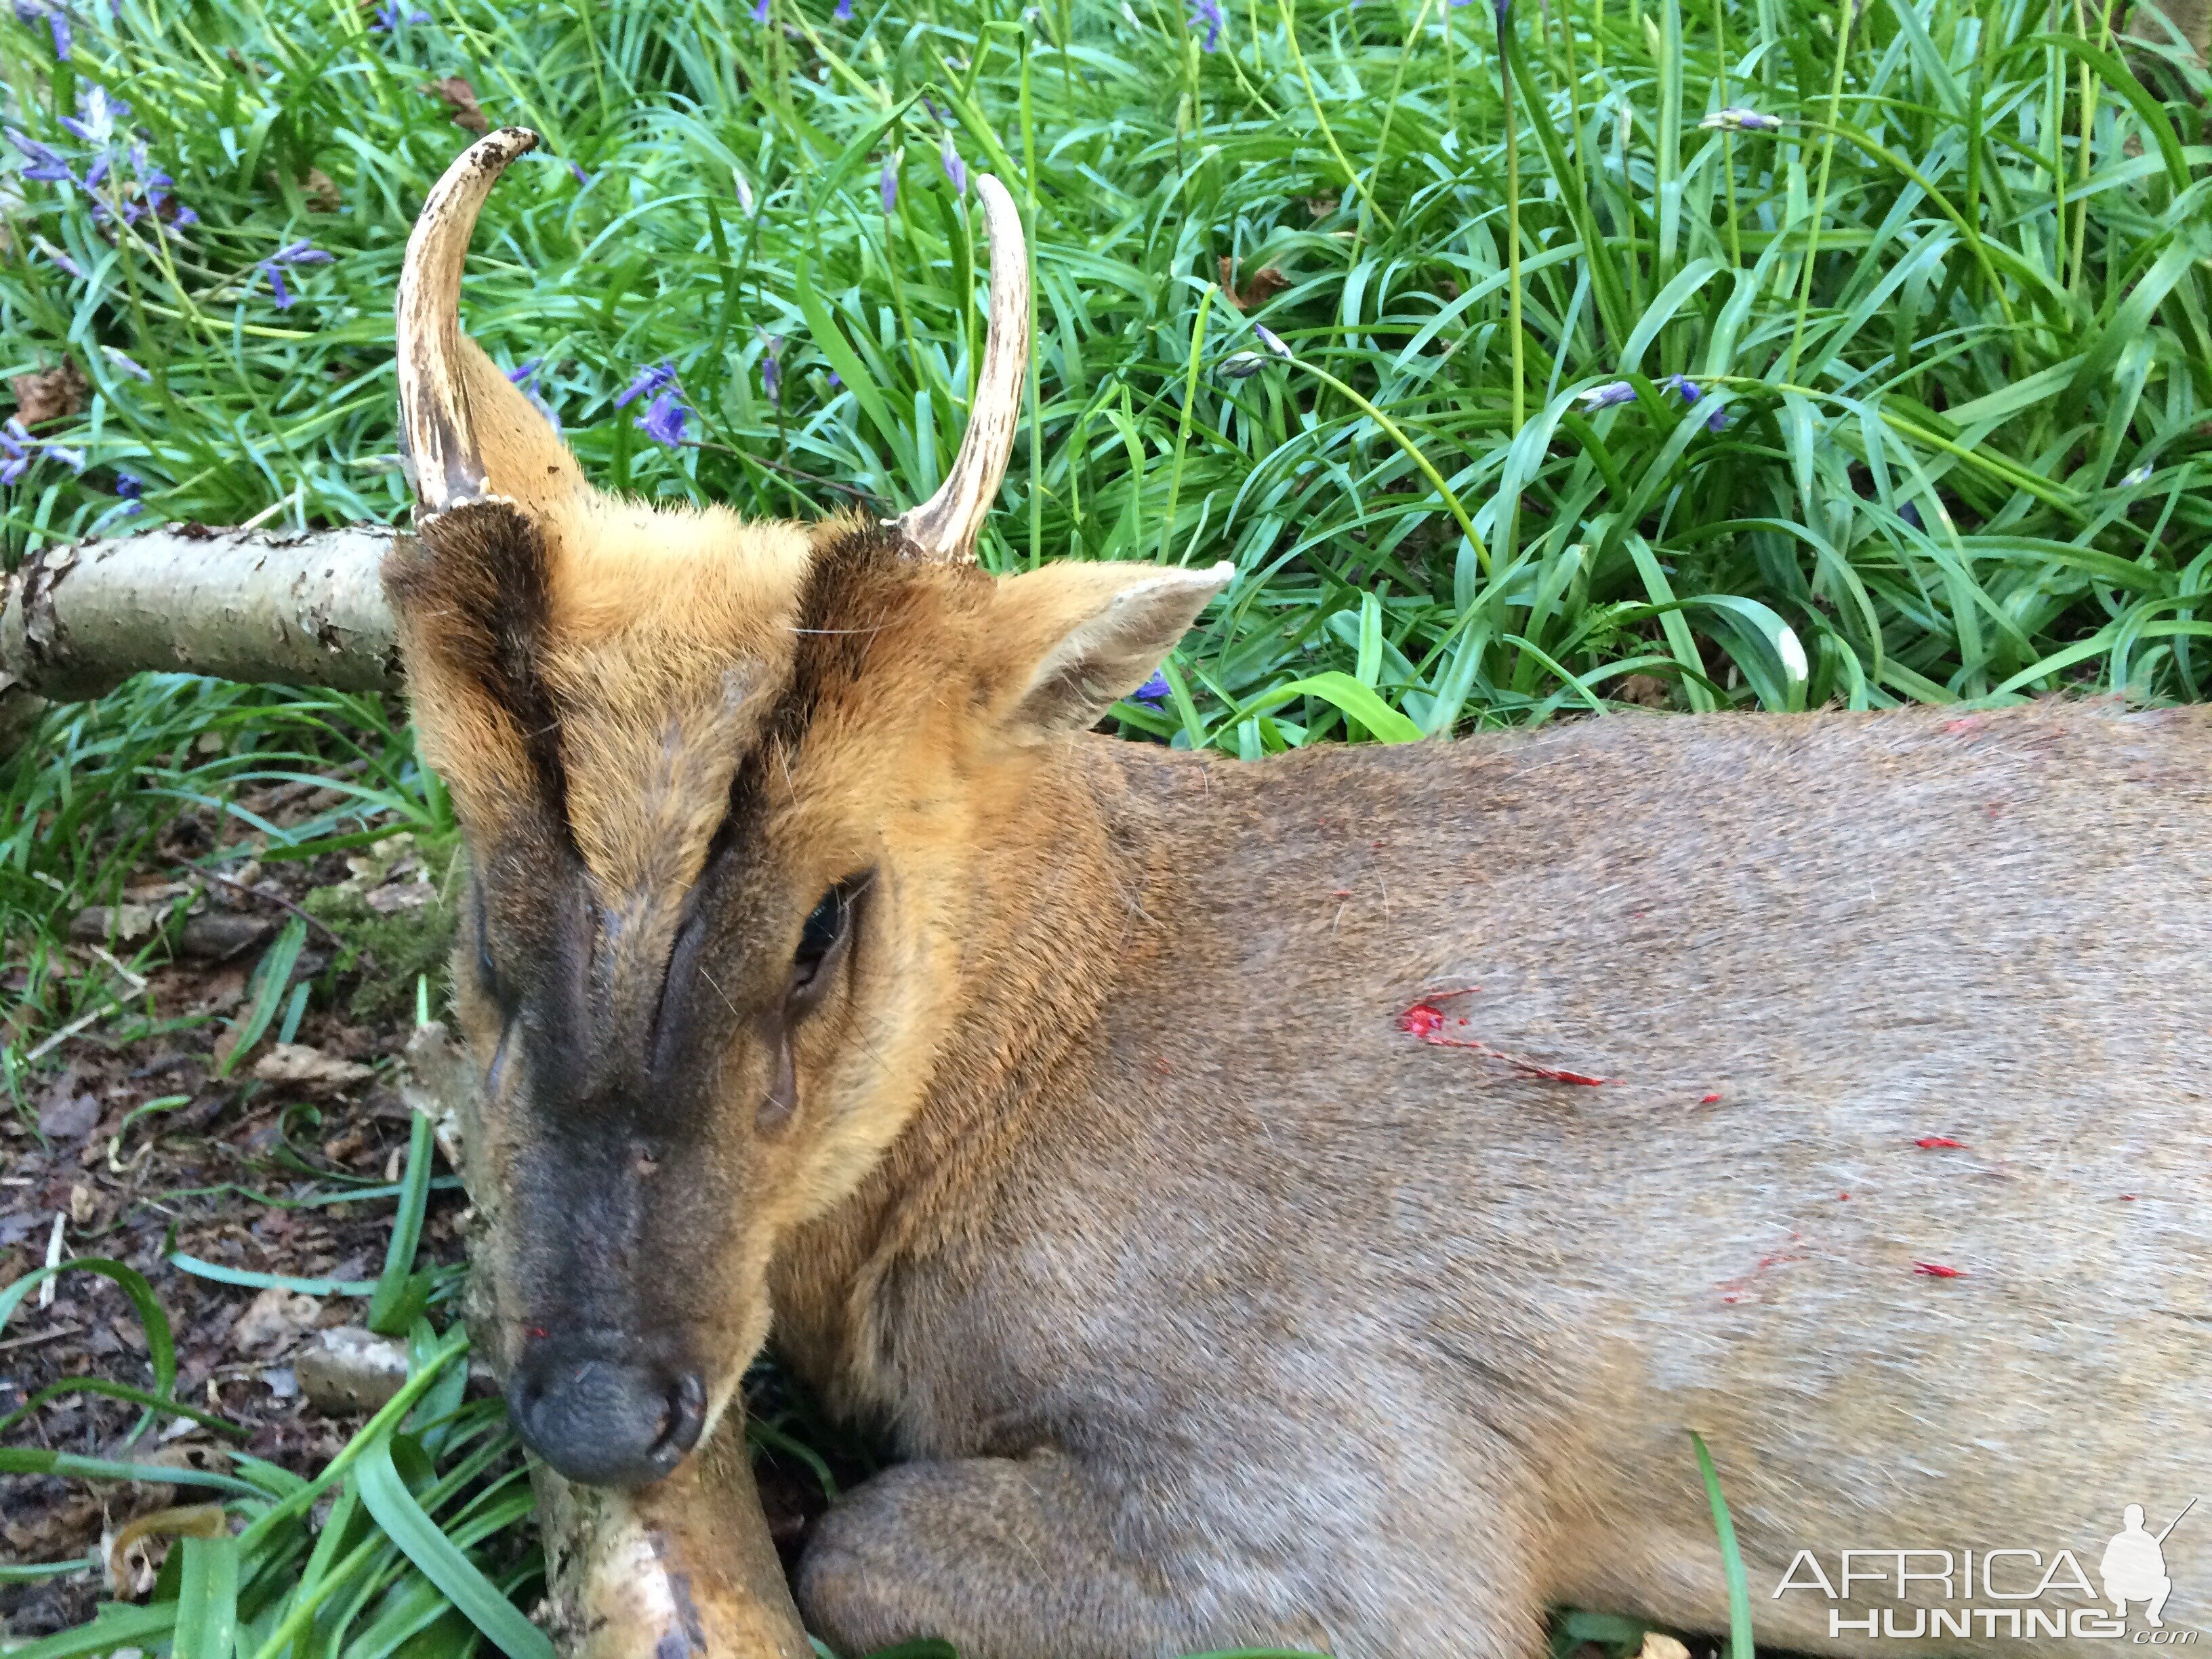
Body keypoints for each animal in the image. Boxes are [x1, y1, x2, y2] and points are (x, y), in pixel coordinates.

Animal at [380, 133, 2212, 1659]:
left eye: (829, 917)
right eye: (481, 899)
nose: (597, 1412)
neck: (1059, 1034)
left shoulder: (1352, 1504)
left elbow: (858, 1543)